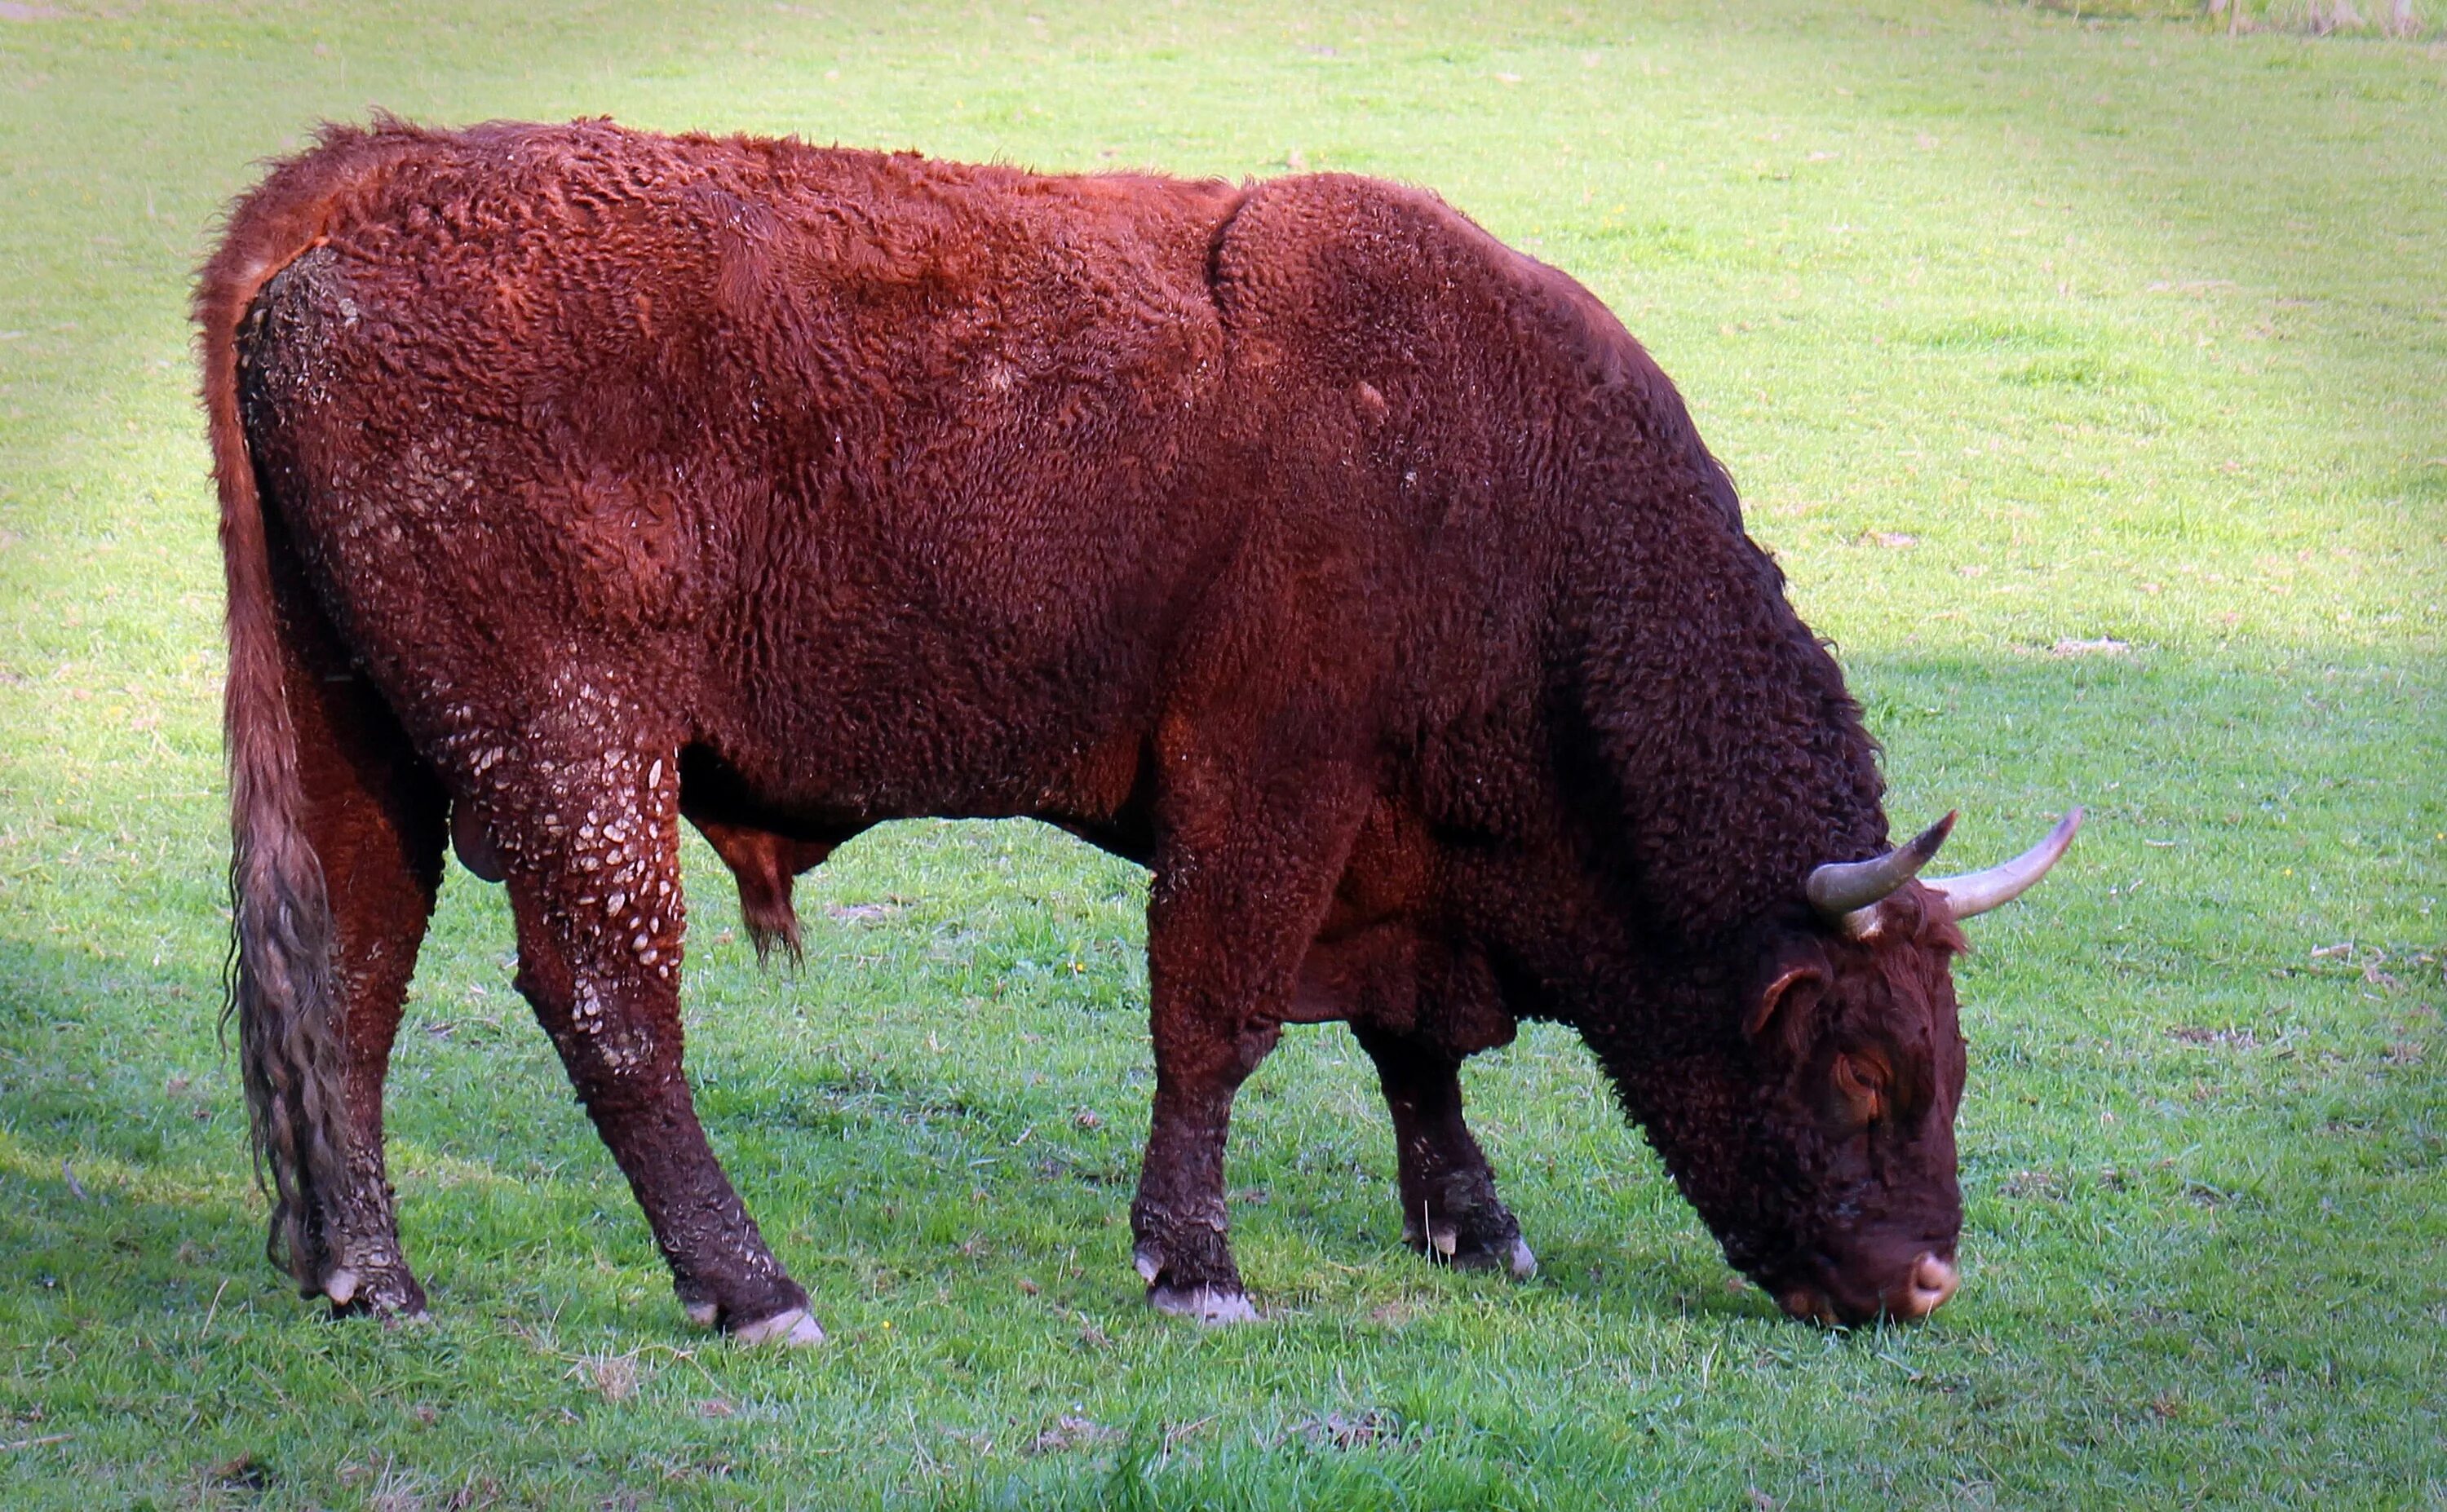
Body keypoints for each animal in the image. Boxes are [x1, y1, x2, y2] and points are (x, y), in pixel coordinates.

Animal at [201, 120, 2085, 1341]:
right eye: (1864, 1067)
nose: (1928, 1277)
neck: (1504, 481)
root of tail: (378, 190)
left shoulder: (1384, 853)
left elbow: (1412, 1047)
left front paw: (1475, 1223)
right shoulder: (1264, 789)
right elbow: (1219, 1021)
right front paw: (1199, 1266)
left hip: (373, 753)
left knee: (347, 979)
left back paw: (371, 1277)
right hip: (574, 752)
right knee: (606, 1000)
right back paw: (749, 1286)